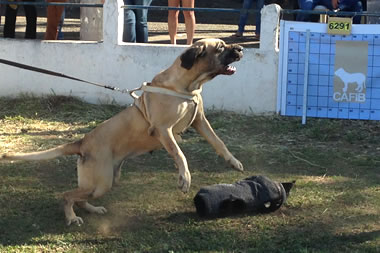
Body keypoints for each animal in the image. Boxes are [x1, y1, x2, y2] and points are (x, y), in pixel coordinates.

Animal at [0, 39, 243, 225]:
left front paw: (233, 161)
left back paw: (93, 209)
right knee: (67, 195)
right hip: (101, 181)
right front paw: (184, 177)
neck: (187, 86)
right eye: (220, 48)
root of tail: (82, 142)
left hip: (101, 183)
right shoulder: (164, 130)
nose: (241, 48)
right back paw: (71, 217)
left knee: (80, 197)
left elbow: (218, 142)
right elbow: (179, 153)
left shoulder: (200, 121)